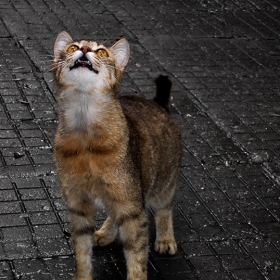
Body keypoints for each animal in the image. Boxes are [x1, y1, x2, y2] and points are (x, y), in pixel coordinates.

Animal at [53, 31, 182, 280]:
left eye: (102, 52)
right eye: (72, 47)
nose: (84, 49)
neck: (86, 136)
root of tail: (157, 104)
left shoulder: (132, 208)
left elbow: (137, 256)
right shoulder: (79, 206)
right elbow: (82, 254)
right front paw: (82, 276)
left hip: (162, 185)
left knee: (164, 209)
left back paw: (165, 238)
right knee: (114, 215)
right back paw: (106, 233)